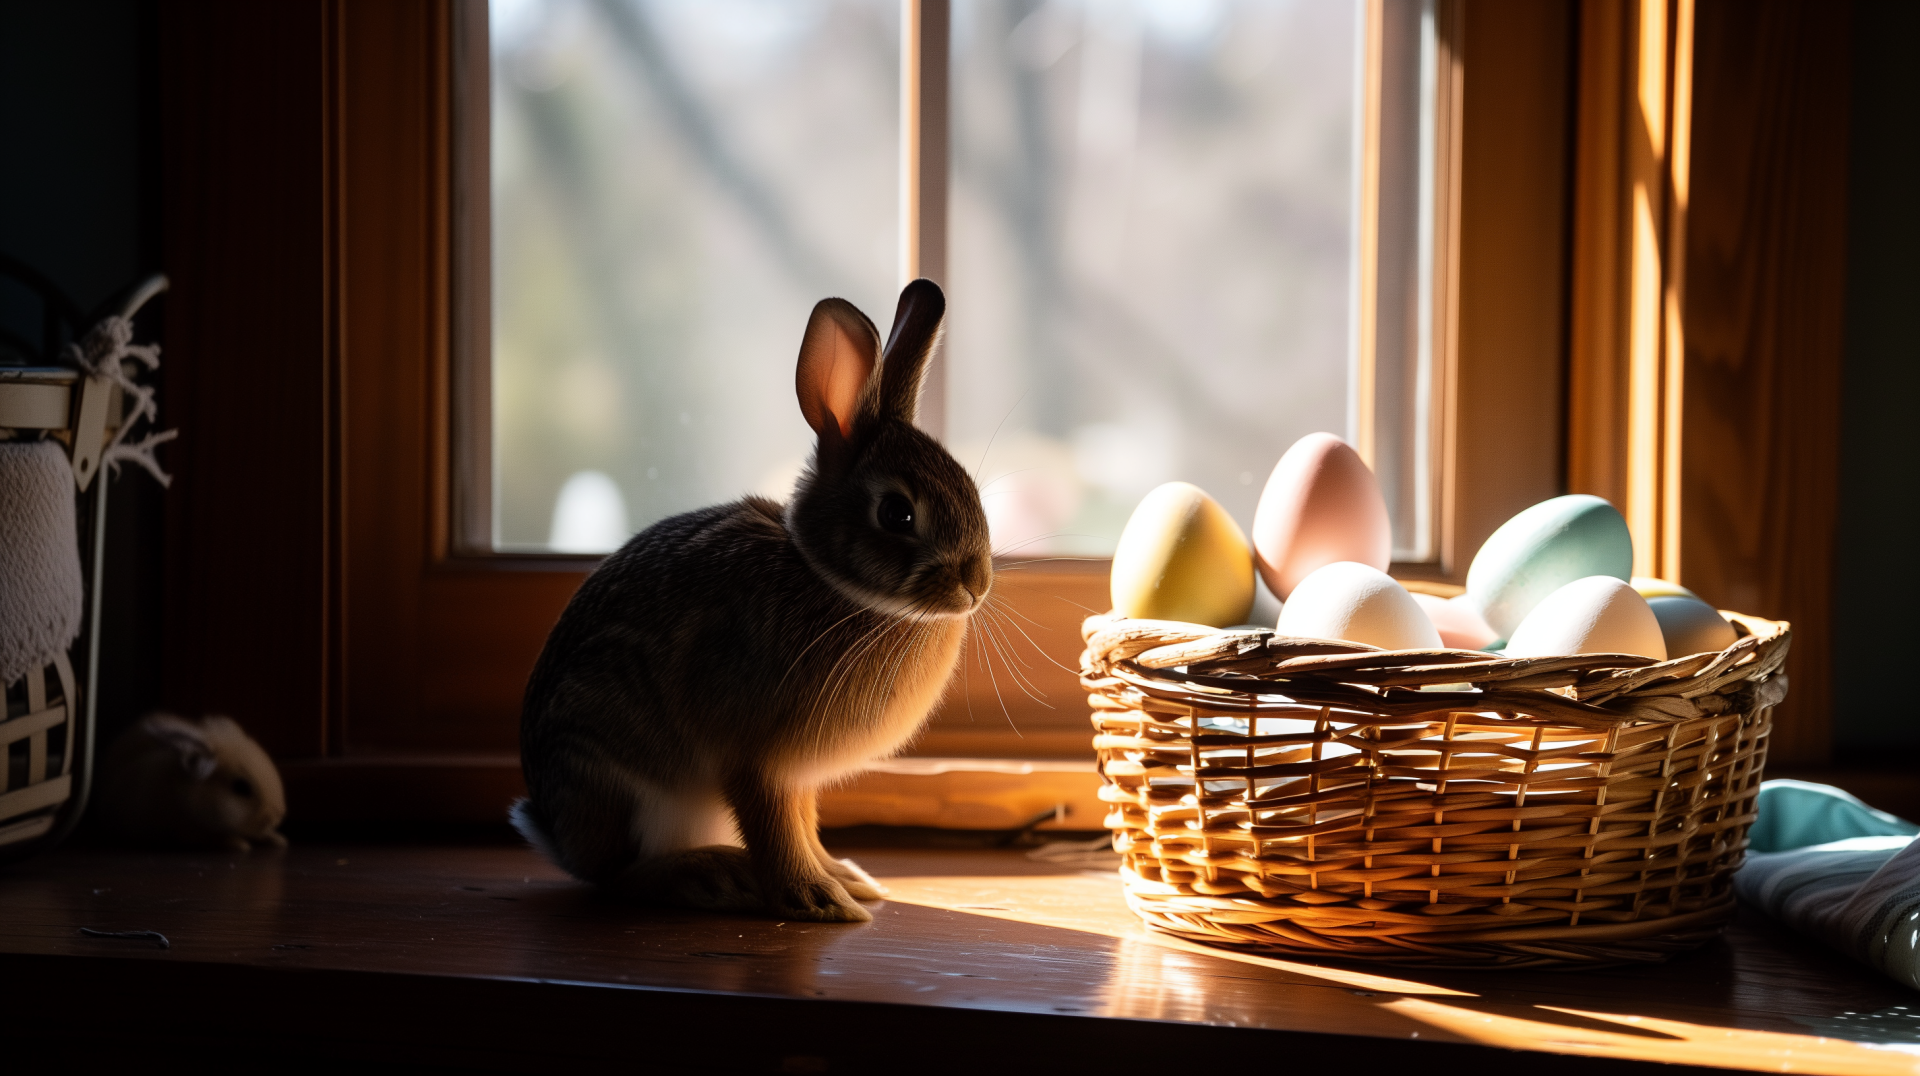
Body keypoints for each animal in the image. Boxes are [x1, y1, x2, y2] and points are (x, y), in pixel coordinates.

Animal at [512, 279, 992, 923]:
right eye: (897, 513)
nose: (978, 582)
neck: (831, 580)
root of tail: (557, 835)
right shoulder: (754, 760)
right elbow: (773, 829)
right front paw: (818, 900)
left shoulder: (798, 778)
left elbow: (803, 826)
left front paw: (842, 875)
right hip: (626, 785)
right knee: (622, 876)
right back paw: (709, 878)